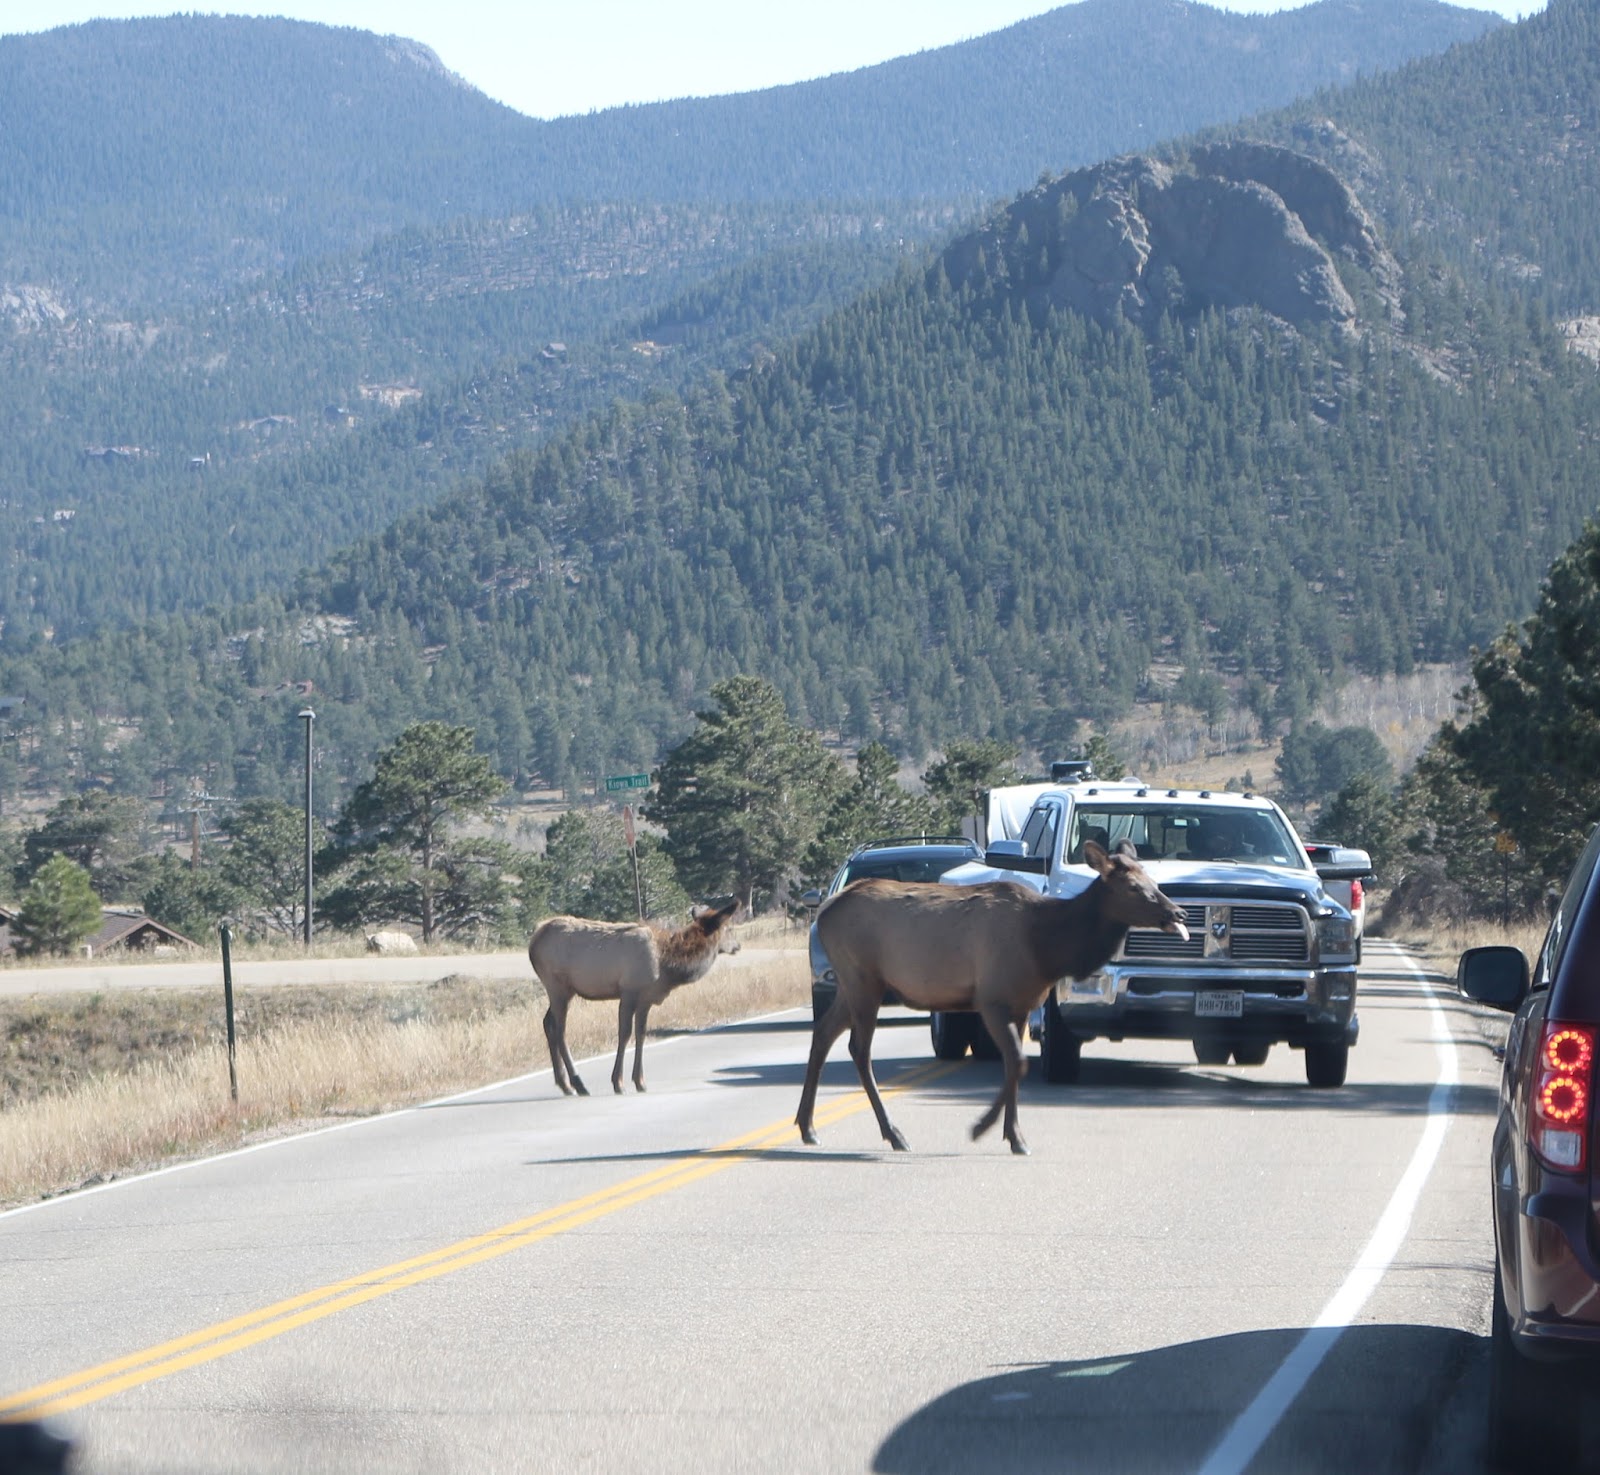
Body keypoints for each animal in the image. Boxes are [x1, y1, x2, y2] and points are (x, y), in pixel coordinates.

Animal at [529, 898, 742, 1096]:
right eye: (729, 928)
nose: (738, 946)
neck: (667, 964)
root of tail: (532, 943)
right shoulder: (629, 991)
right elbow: (624, 1034)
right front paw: (618, 1082)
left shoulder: (646, 998)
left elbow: (641, 1033)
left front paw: (640, 1081)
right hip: (558, 986)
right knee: (560, 1031)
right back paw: (578, 1084)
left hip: (564, 991)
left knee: (547, 1023)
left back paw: (565, 1084)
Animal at [795, 840, 1189, 1155]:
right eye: (1134, 887)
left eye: (1153, 881)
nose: (1179, 912)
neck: (1047, 948)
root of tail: (824, 912)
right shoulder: (992, 999)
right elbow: (1018, 1061)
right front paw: (982, 1127)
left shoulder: (1022, 1003)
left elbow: (1013, 1065)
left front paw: (1014, 1136)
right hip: (863, 978)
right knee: (858, 1049)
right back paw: (893, 1134)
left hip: (852, 985)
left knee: (823, 1033)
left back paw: (807, 1127)